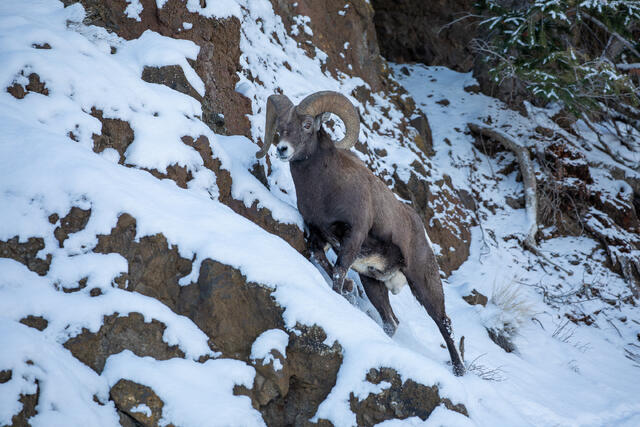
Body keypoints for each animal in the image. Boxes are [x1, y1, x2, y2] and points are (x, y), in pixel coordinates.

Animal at [256, 91, 465, 376]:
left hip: (424, 284)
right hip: (373, 283)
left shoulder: (353, 237)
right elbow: (323, 262)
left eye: (307, 125)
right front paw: (347, 290)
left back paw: (459, 370)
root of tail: (420, 230)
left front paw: (340, 293)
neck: (324, 189)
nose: (282, 150)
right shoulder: (319, 236)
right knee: (391, 321)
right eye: (280, 126)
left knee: (444, 322)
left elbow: (337, 272)